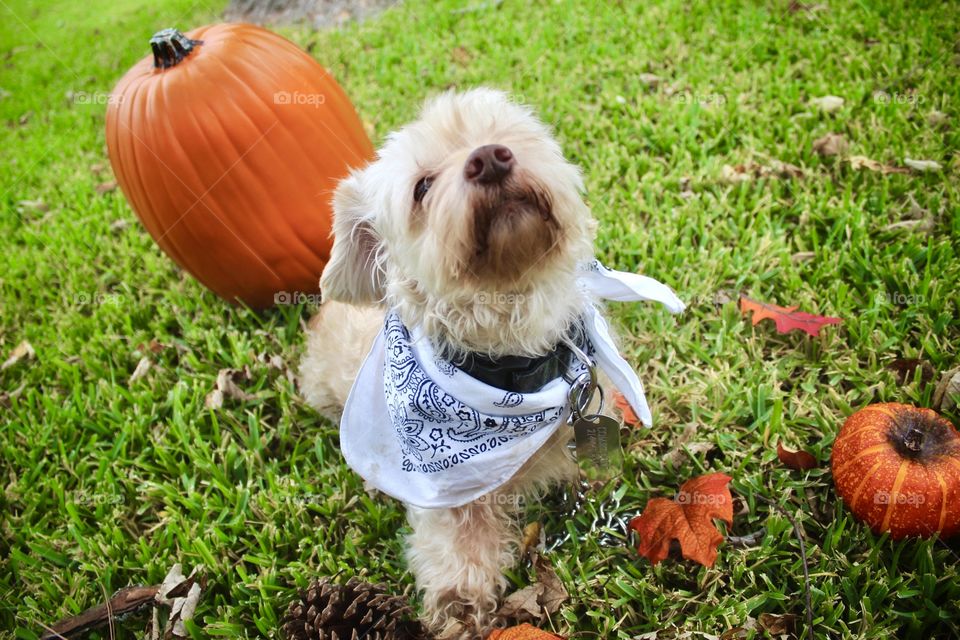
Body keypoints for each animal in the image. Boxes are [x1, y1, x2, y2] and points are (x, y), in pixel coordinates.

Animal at [300, 87, 684, 636]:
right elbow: (457, 554)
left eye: (507, 133)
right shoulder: (448, 494)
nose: (490, 158)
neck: (519, 362)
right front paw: (460, 610)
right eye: (421, 187)